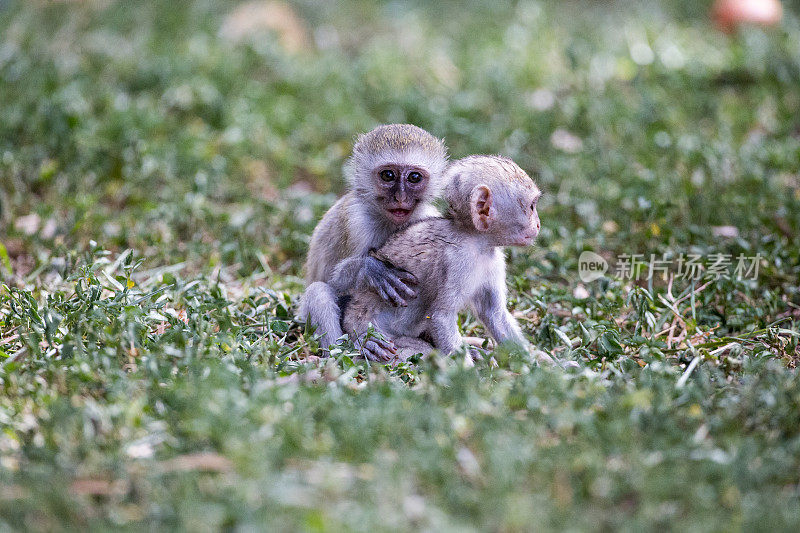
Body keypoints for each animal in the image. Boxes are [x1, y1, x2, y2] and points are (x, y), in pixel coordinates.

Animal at [300, 122, 450, 352]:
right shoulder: (356, 222)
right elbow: (334, 281)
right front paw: (371, 269)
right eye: (388, 175)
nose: (400, 198)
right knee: (318, 292)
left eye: (414, 177)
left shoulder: (428, 218)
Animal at [340, 154, 540, 362]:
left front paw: (534, 365)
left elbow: (495, 315)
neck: (477, 241)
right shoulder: (459, 261)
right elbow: (441, 317)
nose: (538, 224)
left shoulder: (494, 260)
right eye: (531, 207)